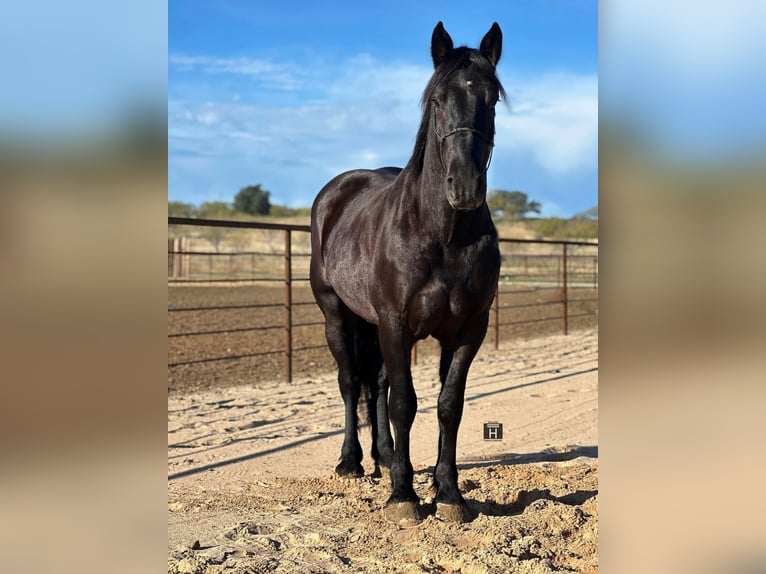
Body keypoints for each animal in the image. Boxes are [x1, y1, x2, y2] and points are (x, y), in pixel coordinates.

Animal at [310, 21, 504, 524]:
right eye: (437, 99)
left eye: (492, 99)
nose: (466, 187)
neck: (443, 236)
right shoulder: (396, 325)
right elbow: (404, 403)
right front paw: (404, 497)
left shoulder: (468, 331)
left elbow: (448, 406)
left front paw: (448, 493)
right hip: (337, 317)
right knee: (350, 383)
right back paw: (353, 462)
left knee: (375, 384)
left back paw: (384, 456)